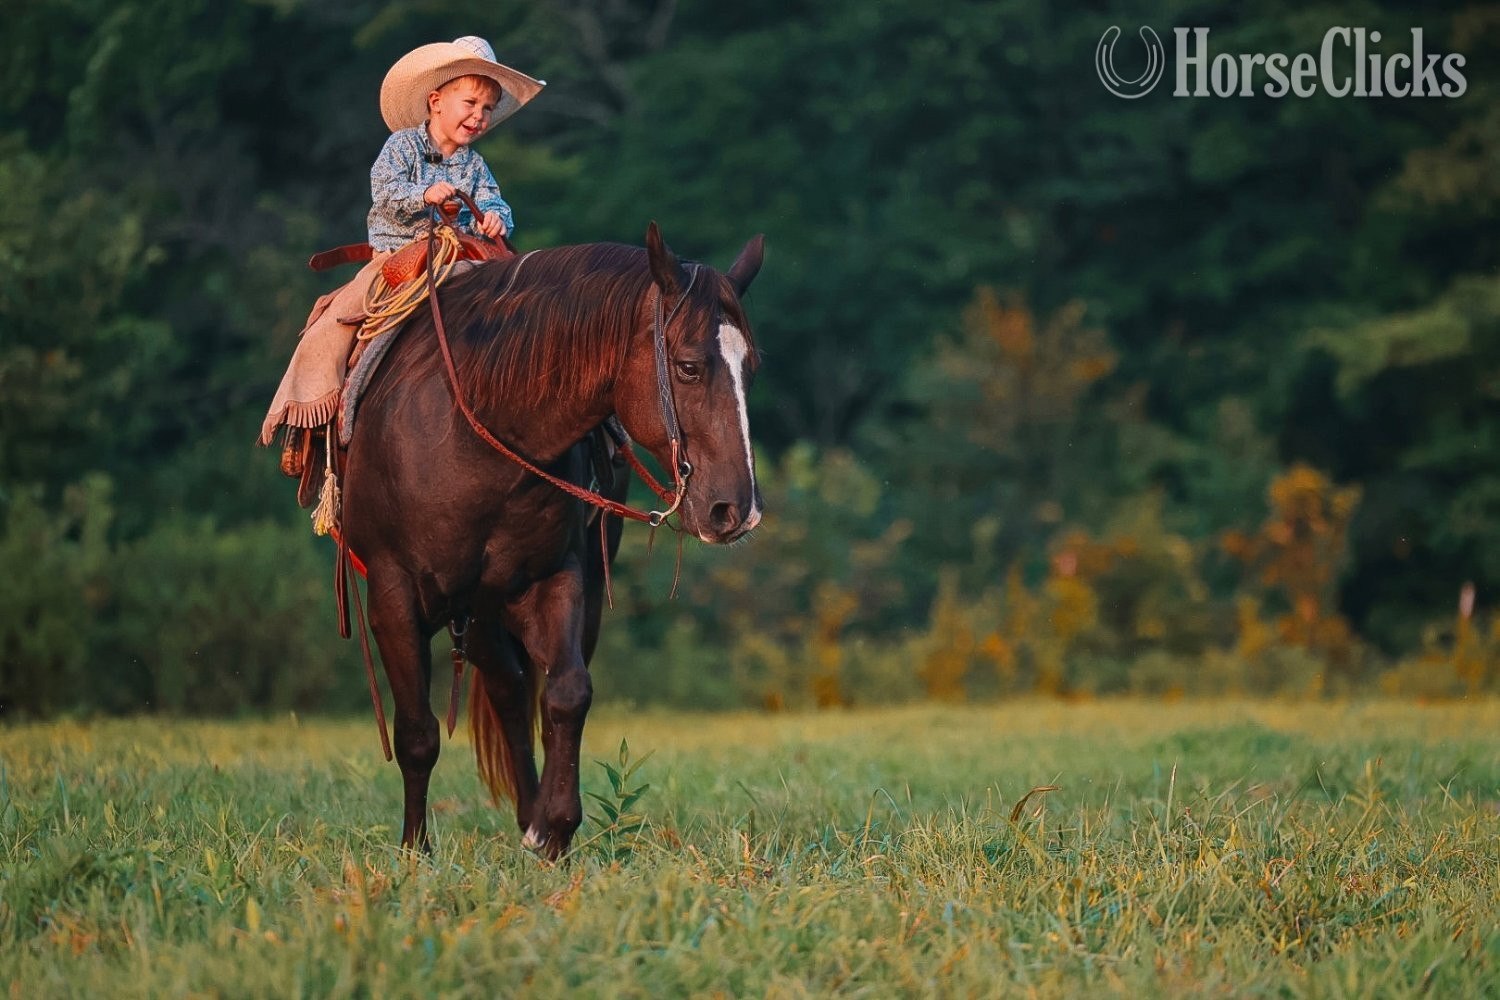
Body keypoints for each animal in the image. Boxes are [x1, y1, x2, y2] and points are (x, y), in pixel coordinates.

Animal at [340, 223, 764, 857]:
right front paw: (415, 850)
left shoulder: (555, 579)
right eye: (688, 367)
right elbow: (416, 732)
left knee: (515, 692)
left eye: (750, 368)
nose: (736, 510)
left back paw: (531, 816)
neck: (475, 427)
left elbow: (567, 693)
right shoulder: (393, 596)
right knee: (501, 693)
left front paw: (555, 828)